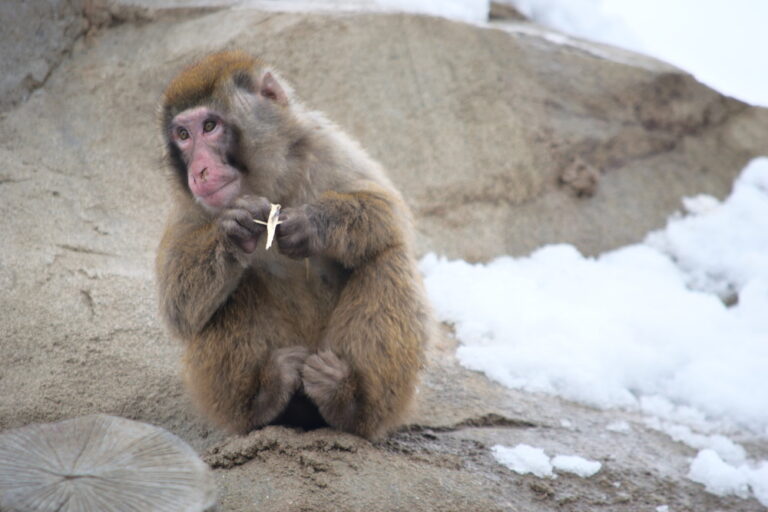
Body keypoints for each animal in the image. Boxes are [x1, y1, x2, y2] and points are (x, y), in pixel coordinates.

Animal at [156, 51, 432, 440]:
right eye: (182, 135)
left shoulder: (322, 145)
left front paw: (312, 225)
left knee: (387, 256)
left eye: (209, 126)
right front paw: (234, 232)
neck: (267, 182)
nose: (200, 172)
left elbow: (389, 214)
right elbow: (178, 306)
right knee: (225, 295)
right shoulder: (190, 206)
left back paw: (350, 403)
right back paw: (262, 400)